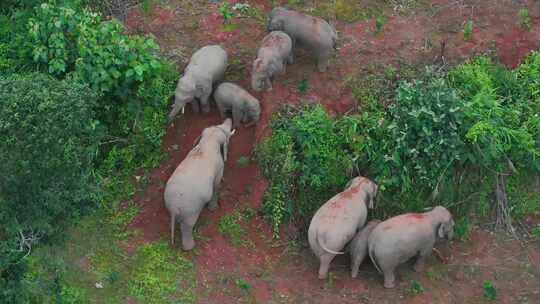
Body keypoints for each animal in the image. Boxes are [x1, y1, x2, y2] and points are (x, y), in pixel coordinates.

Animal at [162, 117, 234, 249]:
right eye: (226, 135)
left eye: (217, 125)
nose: (229, 118)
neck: (208, 141)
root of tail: (174, 207)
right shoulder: (219, 167)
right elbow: (216, 185)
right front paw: (213, 209)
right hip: (190, 210)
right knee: (187, 226)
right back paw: (190, 247)